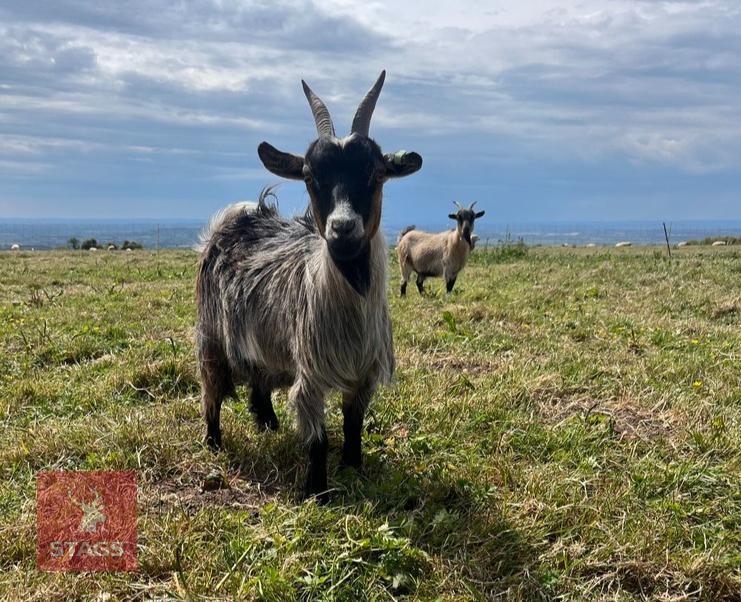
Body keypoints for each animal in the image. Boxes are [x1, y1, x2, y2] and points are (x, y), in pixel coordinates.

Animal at [196, 72, 422, 502]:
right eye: (310, 177)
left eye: (375, 174)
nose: (343, 228)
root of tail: (237, 217)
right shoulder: (311, 374)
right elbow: (317, 438)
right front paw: (317, 490)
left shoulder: (363, 373)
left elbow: (353, 424)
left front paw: (353, 466)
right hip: (211, 336)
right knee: (212, 390)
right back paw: (213, 442)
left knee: (259, 379)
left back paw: (267, 423)